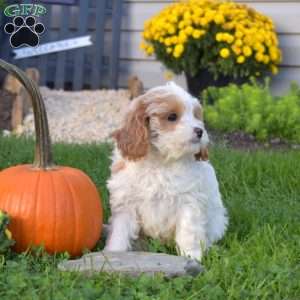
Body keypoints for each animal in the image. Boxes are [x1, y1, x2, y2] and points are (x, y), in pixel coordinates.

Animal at [105, 82, 227, 260]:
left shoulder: (189, 201)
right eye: (172, 117)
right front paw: (114, 254)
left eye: (196, 116)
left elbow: (188, 232)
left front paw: (191, 257)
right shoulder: (126, 203)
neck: (161, 161)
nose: (200, 131)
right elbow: (120, 232)